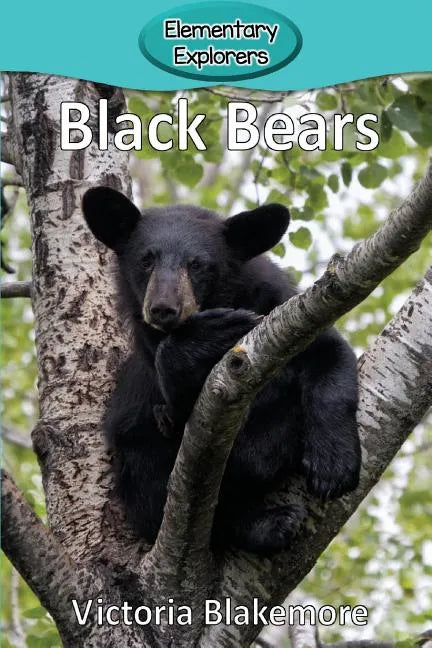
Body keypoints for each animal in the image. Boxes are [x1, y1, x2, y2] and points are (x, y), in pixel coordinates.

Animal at [82, 186, 361, 554]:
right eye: (146, 260)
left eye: (197, 264)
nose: (163, 308)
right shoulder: (150, 359)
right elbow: (179, 407)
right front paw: (209, 334)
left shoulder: (283, 309)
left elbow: (329, 355)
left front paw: (334, 466)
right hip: (134, 457)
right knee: (158, 498)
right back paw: (270, 523)